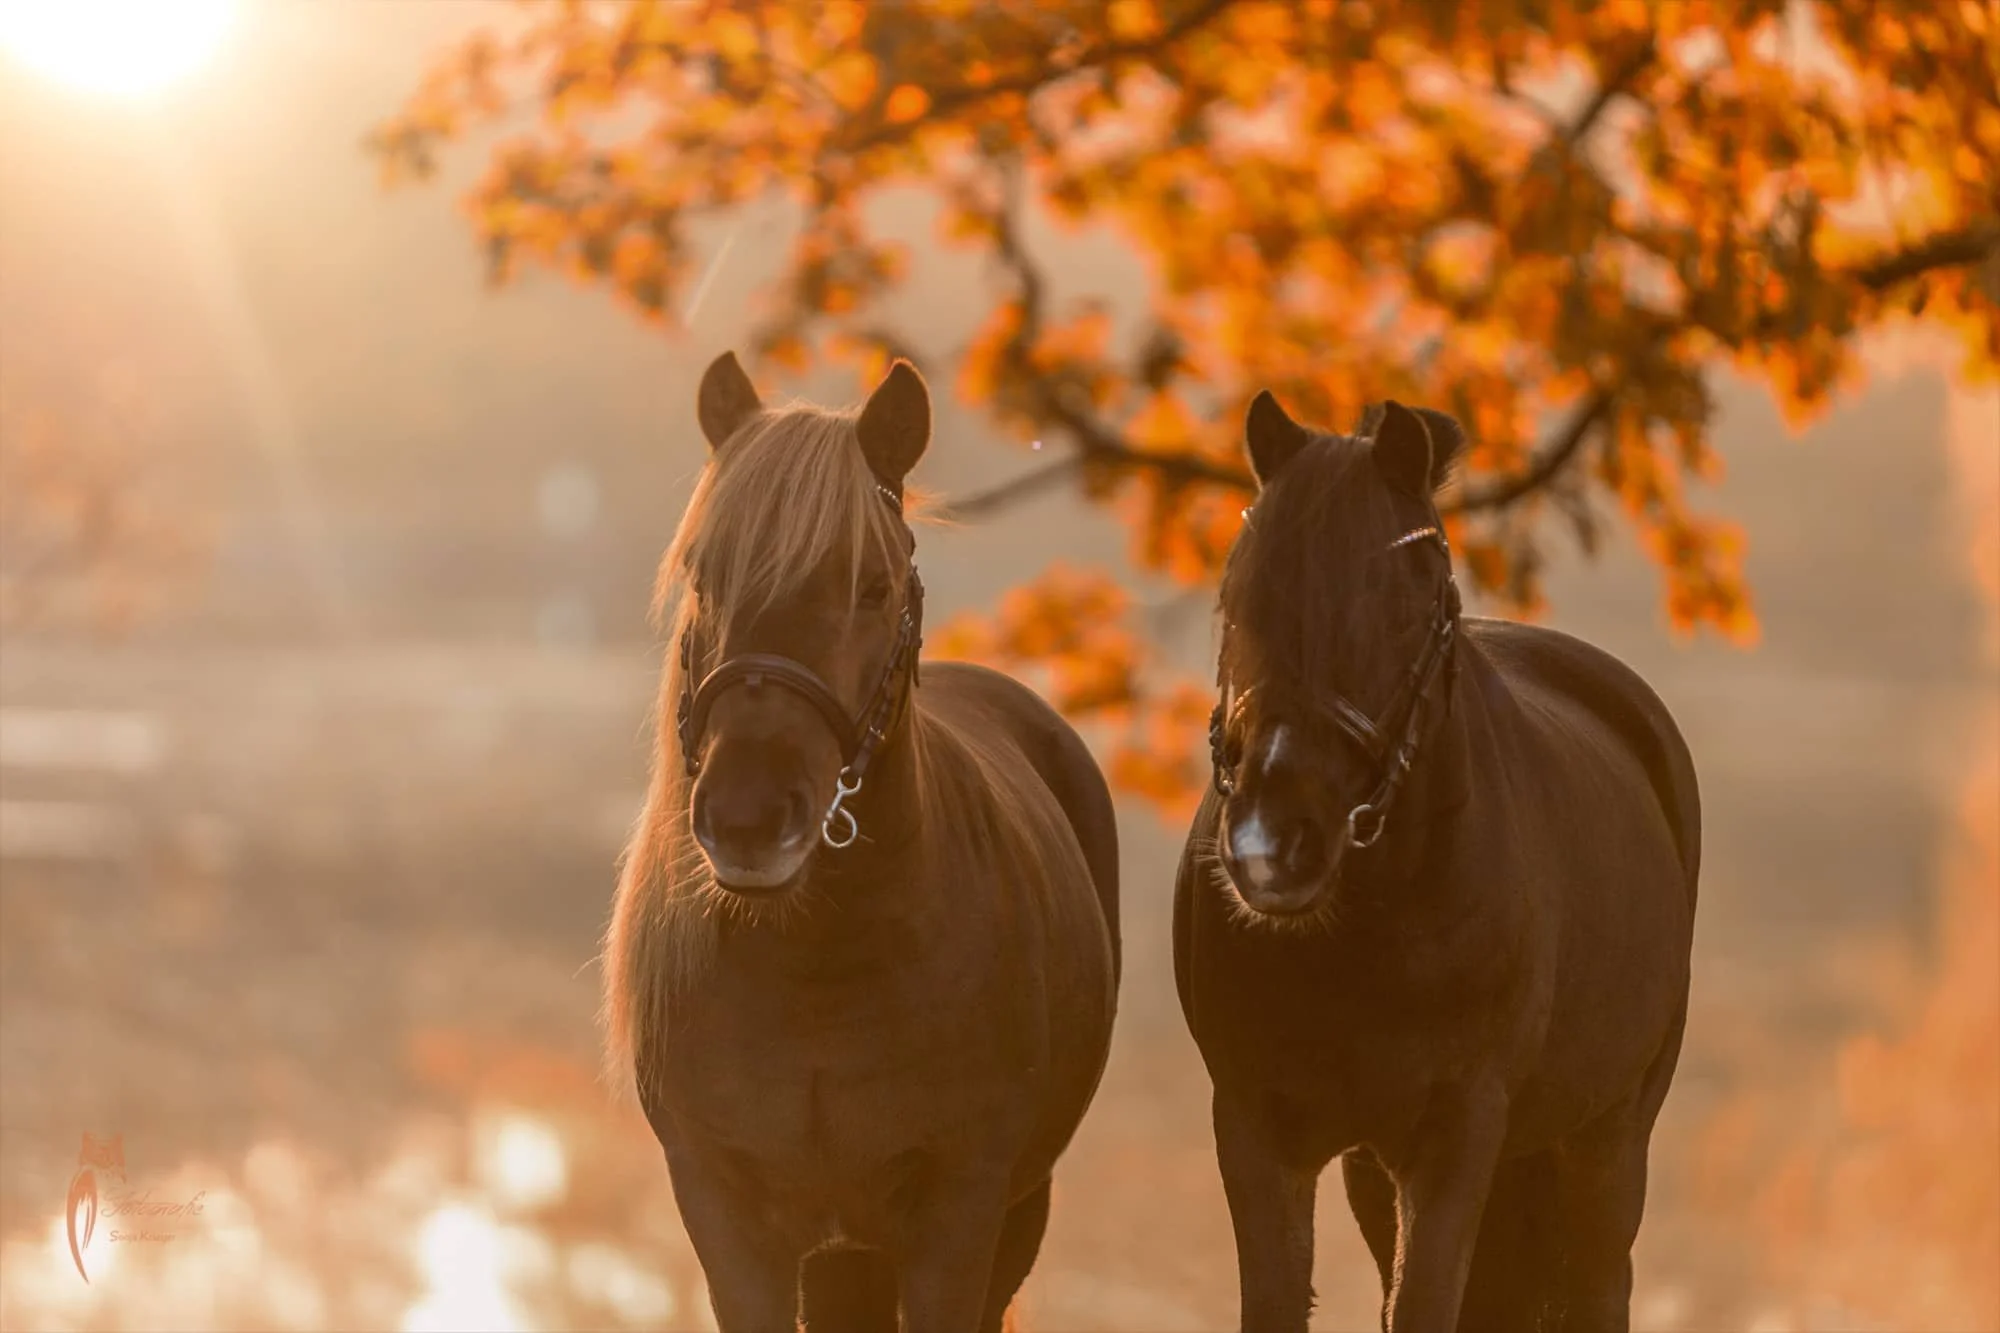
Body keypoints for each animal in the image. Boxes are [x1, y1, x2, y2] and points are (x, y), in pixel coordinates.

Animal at [603, 352, 1122, 1333]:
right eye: (703, 575)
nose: (748, 816)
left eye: (872, 587)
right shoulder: (729, 1223)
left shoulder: (960, 1217)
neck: (820, 969)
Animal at [1175, 391, 1699, 1333]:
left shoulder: (1459, 1132)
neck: (1371, 927)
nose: (1274, 842)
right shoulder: (1257, 1127)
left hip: (1606, 1143)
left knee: (1601, 1279)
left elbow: (1423, 1303)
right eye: (1237, 598)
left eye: (1402, 608)